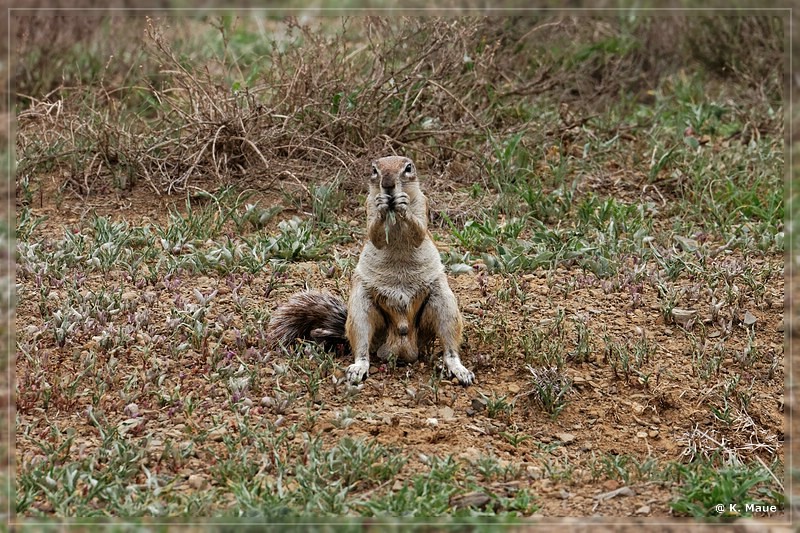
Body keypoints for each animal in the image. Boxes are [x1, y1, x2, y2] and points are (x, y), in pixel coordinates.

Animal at [268, 156, 476, 384]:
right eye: (374, 169)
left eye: (408, 167)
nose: (388, 184)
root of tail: (402, 347)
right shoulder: (368, 205)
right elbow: (374, 233)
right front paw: (383, 205)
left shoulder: (423, 203)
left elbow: (419, 231)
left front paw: (403, 204)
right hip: (361, 308)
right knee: (362, 346)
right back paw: (358, 368)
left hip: (444, 303)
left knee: (450, 346)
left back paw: (459, 370)